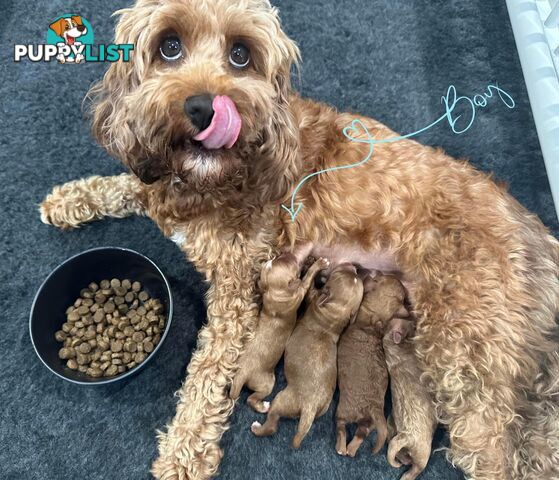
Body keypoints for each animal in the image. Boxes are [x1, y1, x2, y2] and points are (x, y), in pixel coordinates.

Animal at [231, 251, 330, 412]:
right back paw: (263, 406)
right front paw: (318, 264)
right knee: (251, 399)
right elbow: (307, 278)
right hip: (267, 382)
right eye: (288, 262)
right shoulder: (301, 290)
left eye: (276, 258)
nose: (286, 252)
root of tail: (241, 375)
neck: (274, 292)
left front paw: (309, 261)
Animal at [252, 260, 366, 448]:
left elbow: (309, 286)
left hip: (281, 400)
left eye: (337, 274)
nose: (353, 265)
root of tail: (309, 407)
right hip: (322, 408)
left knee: (272, 423)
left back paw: (257, 427)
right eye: (350, 274)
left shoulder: (310, 296)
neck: (335, 314)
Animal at [334, 274, 410, 458]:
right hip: (369, 422)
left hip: (343, 410)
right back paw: (351, 449)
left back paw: (341, 447)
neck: (376, 315)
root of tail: (374, 407)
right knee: (361, 433)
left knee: (341, 427)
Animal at [384, 318, 438, 480]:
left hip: (392, 430)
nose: (415, 322)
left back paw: (404, 461)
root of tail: (405, 436)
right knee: (415, 469)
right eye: (412, 326)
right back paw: (408, 474)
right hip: (423, 452)